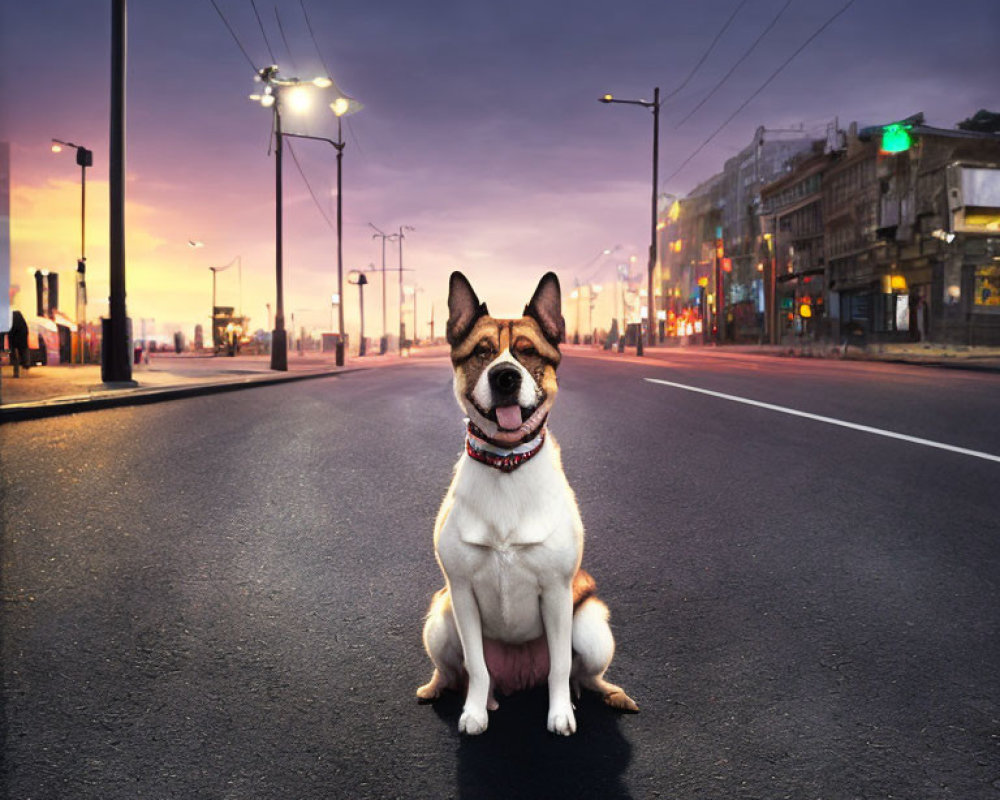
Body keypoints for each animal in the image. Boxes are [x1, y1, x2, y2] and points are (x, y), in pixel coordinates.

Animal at [416, 272, 640, 736]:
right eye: (481, 352)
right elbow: (477, 666)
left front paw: (559, 715)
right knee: (455, 671)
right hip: (440, 616)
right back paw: (446, 691)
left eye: (528, 352)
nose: (504, 376)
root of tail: (518, 681)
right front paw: (474, 712)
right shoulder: (461, 593)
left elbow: (559, 666)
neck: (506, 465)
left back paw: (609, 694)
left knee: (583, 675)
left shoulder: (556, 593)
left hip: (591, 625)